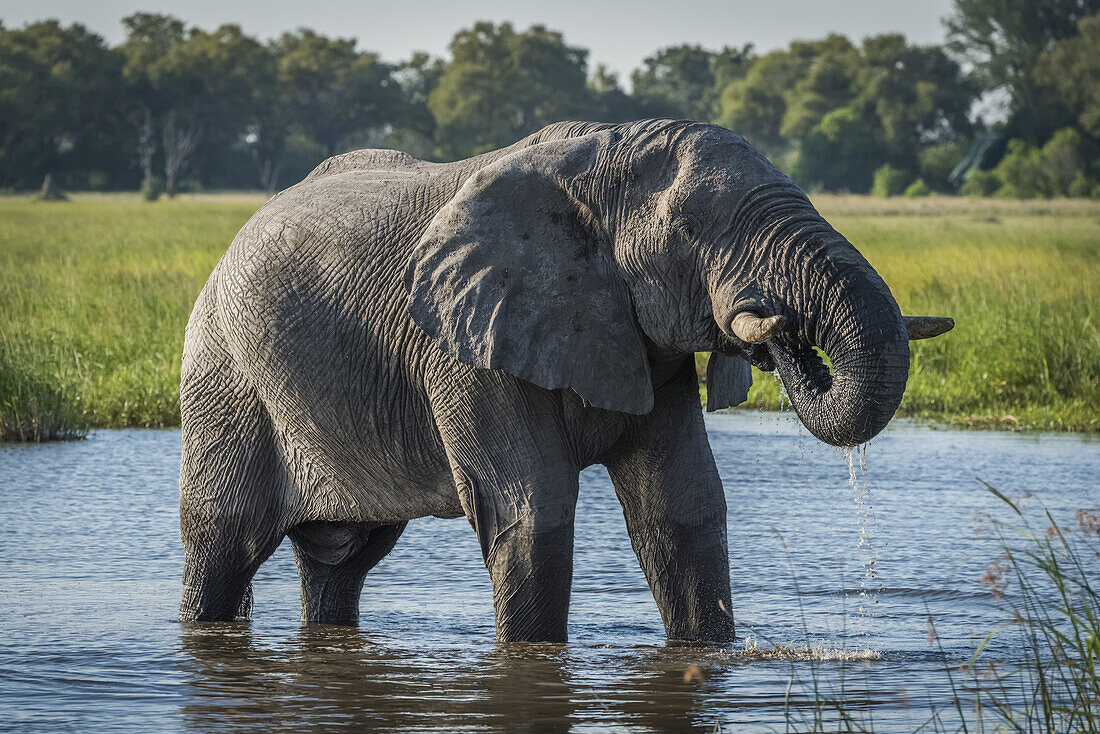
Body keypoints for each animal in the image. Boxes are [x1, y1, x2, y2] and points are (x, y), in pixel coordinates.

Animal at [180, 119, 954, 642]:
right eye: (691, 233)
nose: (782, 330)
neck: (597, 157)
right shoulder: (465, 348)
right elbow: (534, 509)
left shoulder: (643, 344)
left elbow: (684, 509)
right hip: (223, 373)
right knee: (224, 544)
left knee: (343, 558)